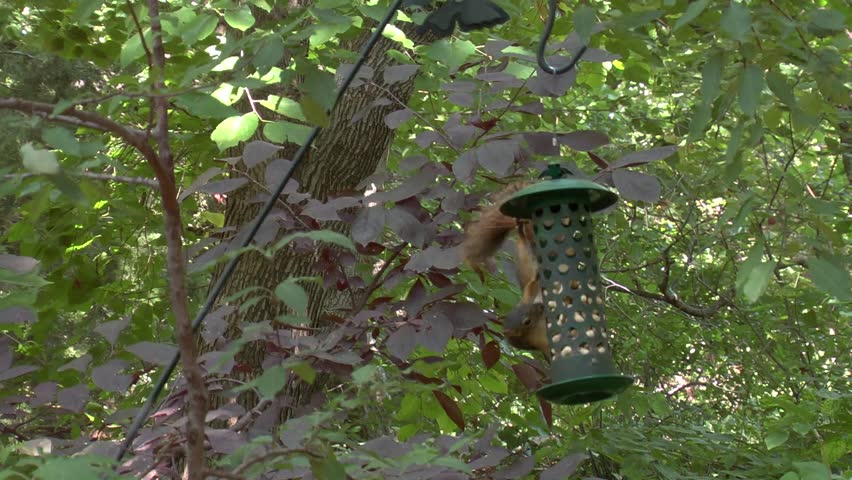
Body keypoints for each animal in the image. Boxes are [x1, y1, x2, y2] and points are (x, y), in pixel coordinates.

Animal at [461, 181, 550, 359]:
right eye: (526, 322)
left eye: (527, 316)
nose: (540, 307)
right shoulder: (538, 341)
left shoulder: (529, 296)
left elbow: (533, 281)